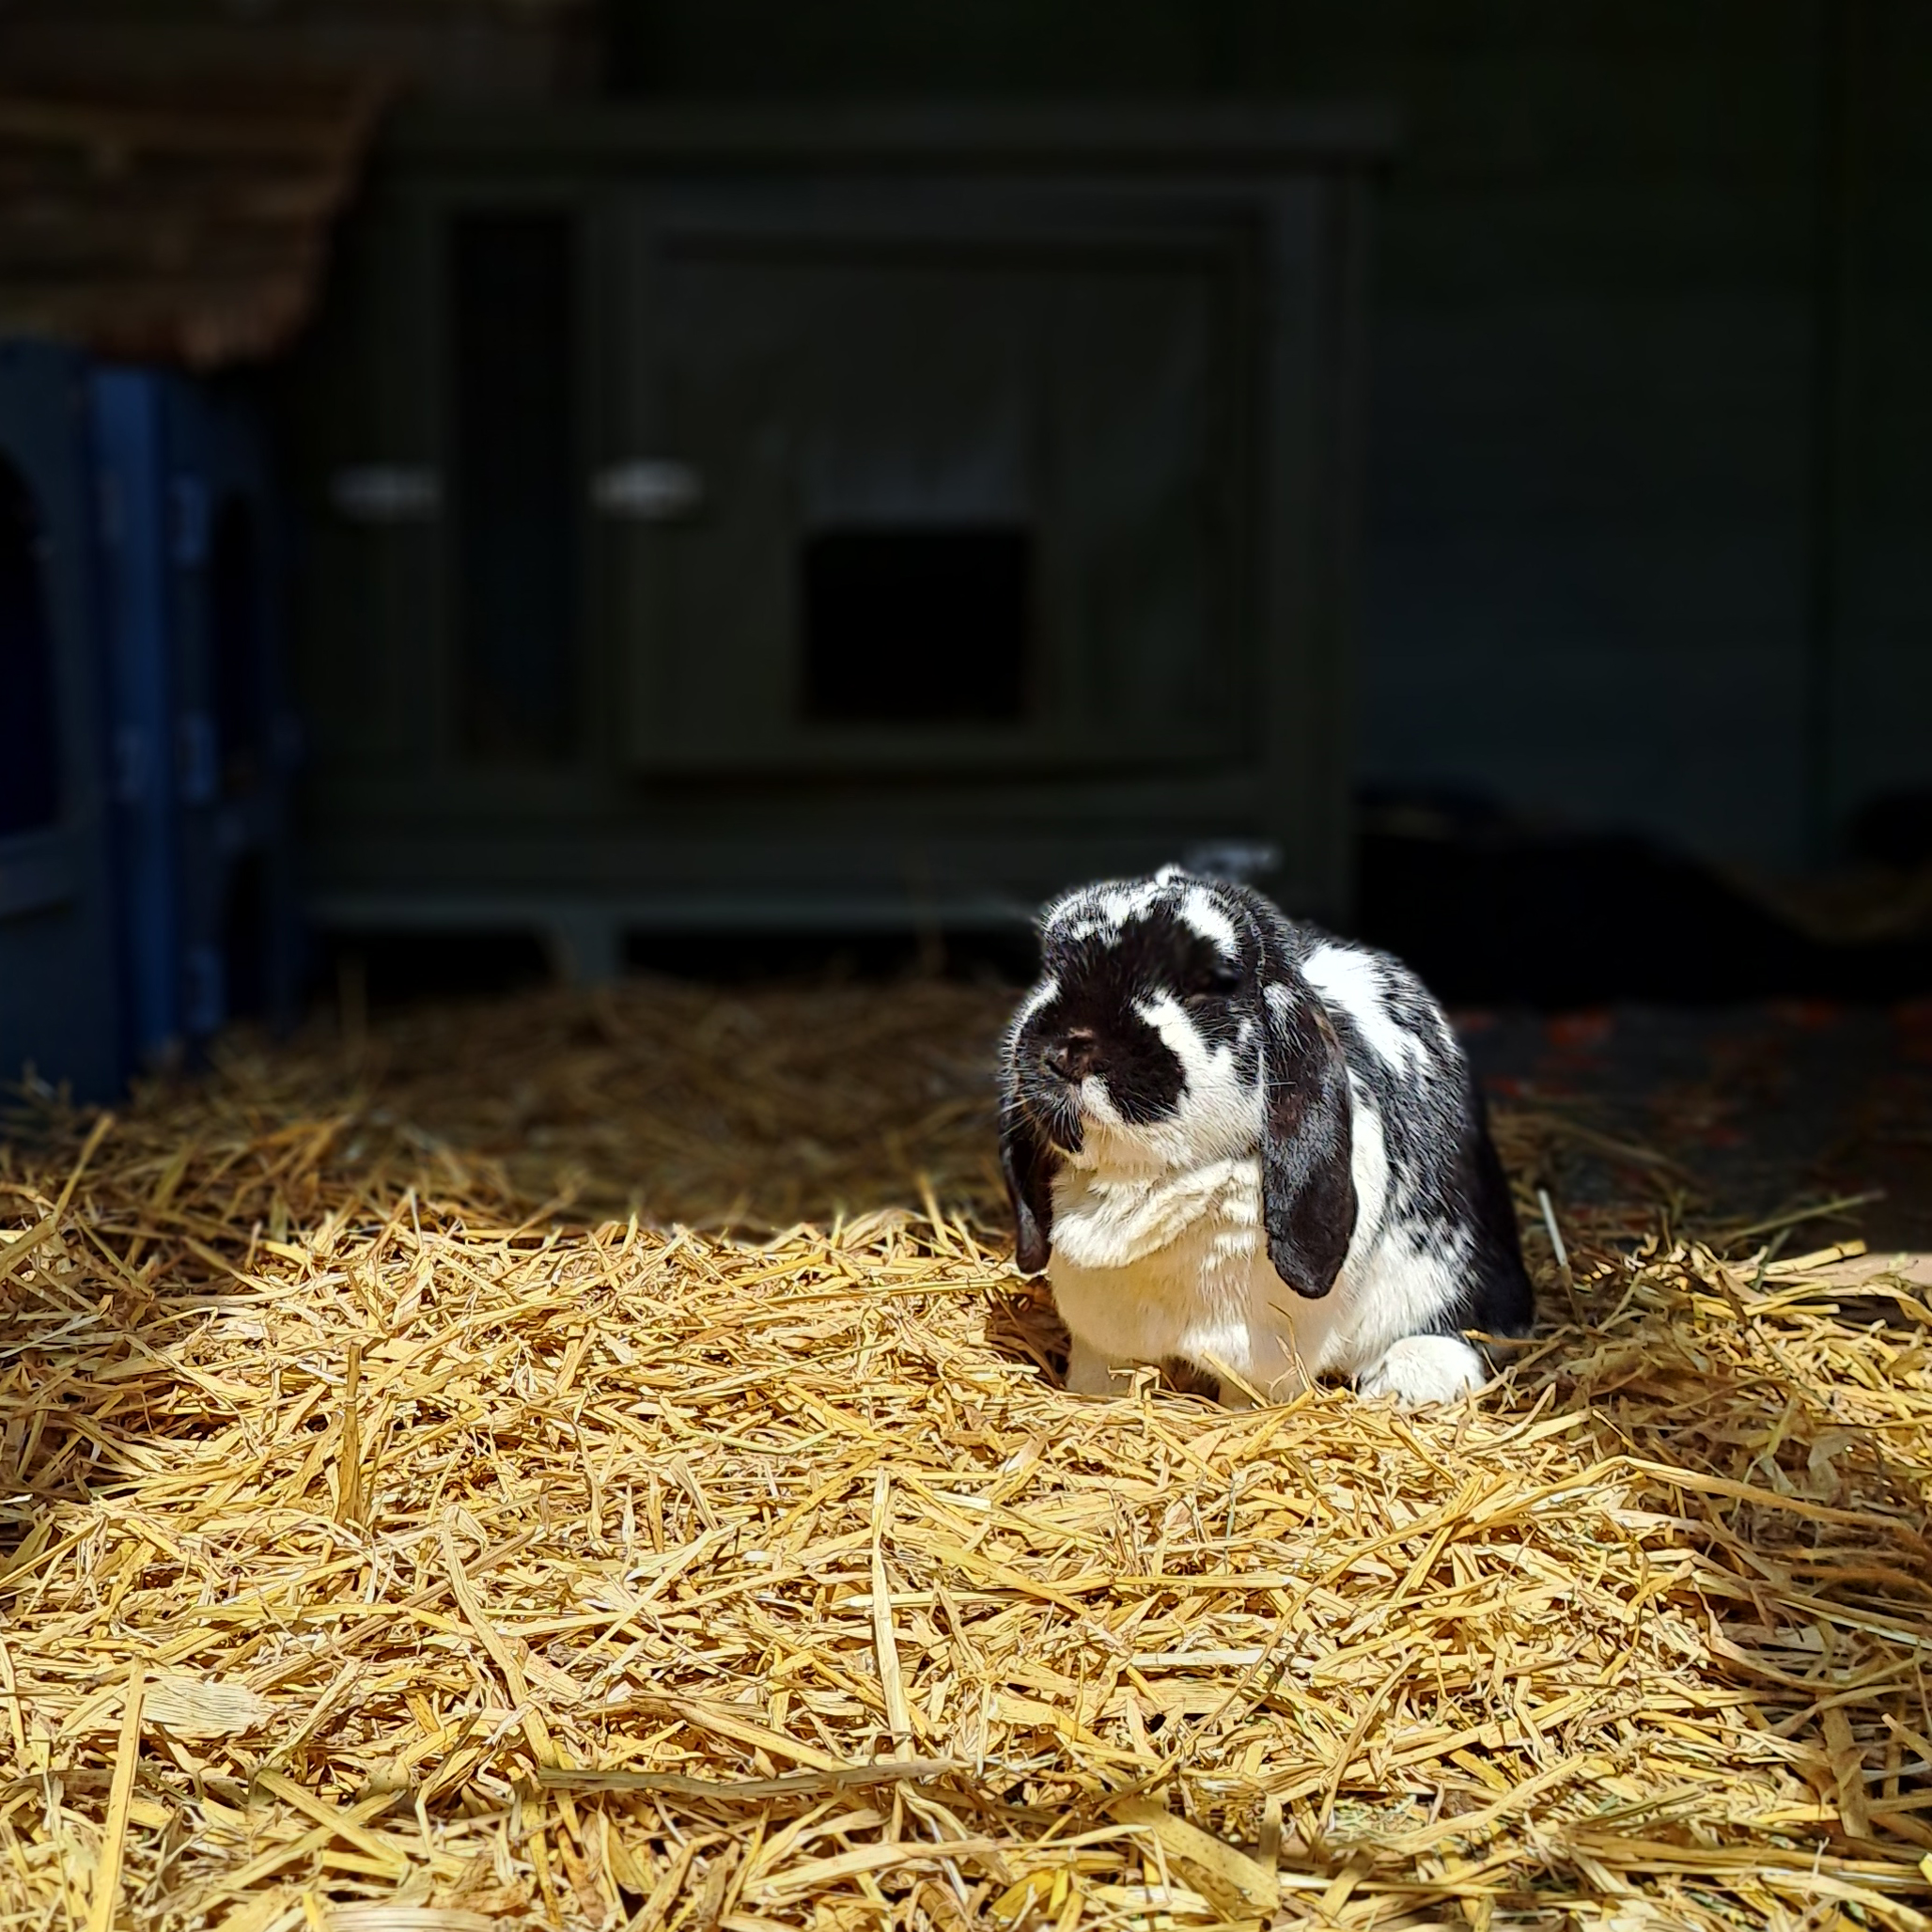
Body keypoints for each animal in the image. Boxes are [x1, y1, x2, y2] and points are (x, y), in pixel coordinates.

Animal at [998, 867, 1533, 1408]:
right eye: (1054, 968)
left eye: (1209, 985)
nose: (1069, 1048)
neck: (1143, 1180)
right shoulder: (1102, 1342)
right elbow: (1103, 1377)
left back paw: (1407, 1379)